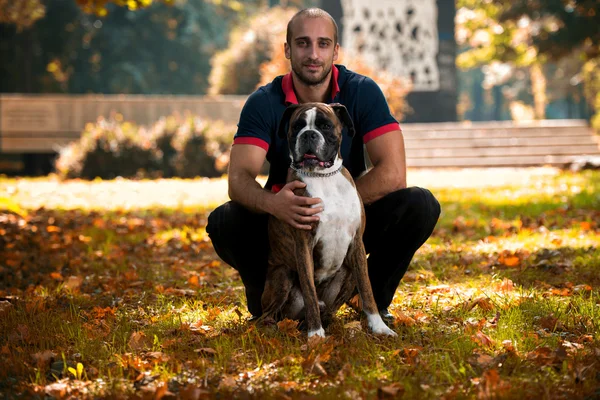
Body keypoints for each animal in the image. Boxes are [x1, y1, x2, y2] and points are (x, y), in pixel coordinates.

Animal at [260, 102, 396, 338]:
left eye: (325, 126)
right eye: (297, 126)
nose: (309, 134)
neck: (323, 177)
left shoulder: (357, 243)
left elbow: (367, 290)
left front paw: (379, 327)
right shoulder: (304, 243)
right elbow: (310, 293)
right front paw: (316, 335)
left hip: (347, 273)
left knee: (329, 306)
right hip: (283, 275)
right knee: (268, 314)